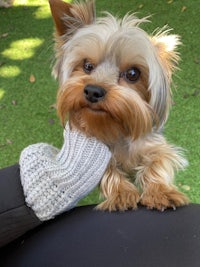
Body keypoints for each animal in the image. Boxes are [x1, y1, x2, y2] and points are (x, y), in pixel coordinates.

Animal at [48, 0, 189, 213]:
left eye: (132, 73)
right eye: (87, 65)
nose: (93, 91)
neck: (119, 127)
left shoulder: (155, 144)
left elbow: (158, 161)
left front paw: (161, 192)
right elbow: (107, 169)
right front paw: (122, 194)